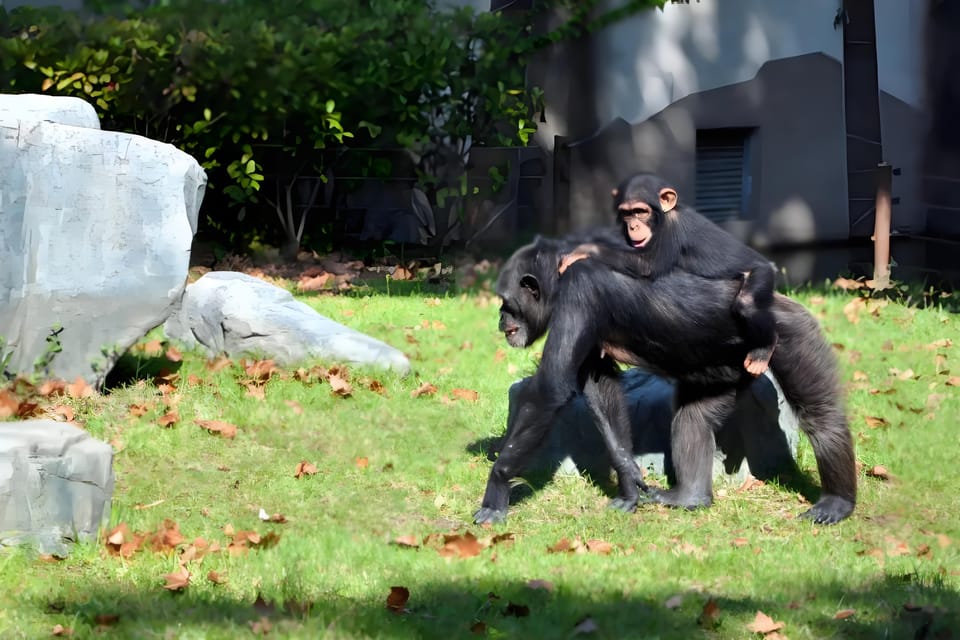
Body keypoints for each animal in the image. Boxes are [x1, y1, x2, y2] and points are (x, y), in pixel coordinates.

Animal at [478, 234, 856, 524]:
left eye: (506, 301)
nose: (499, 316)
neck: (559, 278)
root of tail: (786, 303)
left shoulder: (578, 295)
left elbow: (552, 390)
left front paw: (496, 488)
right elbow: (601, 390)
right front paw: (629, 481)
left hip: (794, 334)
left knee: (821, 418)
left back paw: (837, 502)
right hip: (724, 372)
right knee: (693, 418)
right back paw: (690, 497)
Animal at [564, 172, 780, 378]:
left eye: (640, 212)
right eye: (626, 213)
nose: (633, 226)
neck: (662, 217)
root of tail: (769, 264)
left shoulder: (671, 228)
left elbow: (646, 265)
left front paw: (584, 249)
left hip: (762, 274)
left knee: (747, 304)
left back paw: (763, 351)